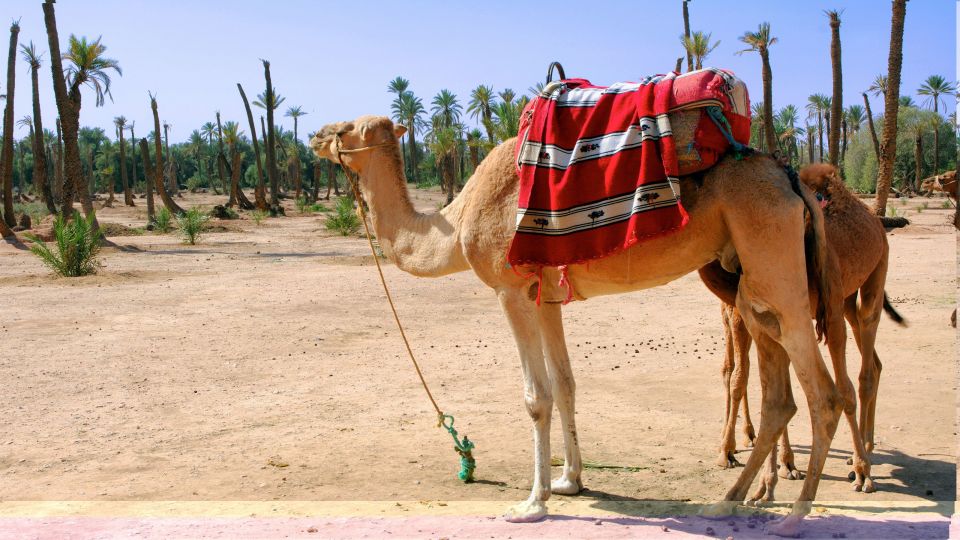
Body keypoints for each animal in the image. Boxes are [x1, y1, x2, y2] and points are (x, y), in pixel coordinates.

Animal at [312, 115, 844, 536]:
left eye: (345, 128)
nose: (315, 136)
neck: (457, 222)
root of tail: (790, 177)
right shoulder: (546, 297)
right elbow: (566, 383)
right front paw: (570, 480)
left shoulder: (510, 290)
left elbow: (536, 396)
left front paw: (532, 502)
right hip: (750, 282)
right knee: (780, 396)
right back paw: (728, 500)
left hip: (774, 258)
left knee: (824, 393)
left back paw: (793, 515)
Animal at [700, 163, 904, 498]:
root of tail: (874, 219)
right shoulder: (762, 315)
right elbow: (757, 382)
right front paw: (771, 474)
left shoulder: (818, 310)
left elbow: (838, 389)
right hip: (845, 300)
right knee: (873, 361)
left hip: (873, 275)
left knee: (865, 367)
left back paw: (862, 460)